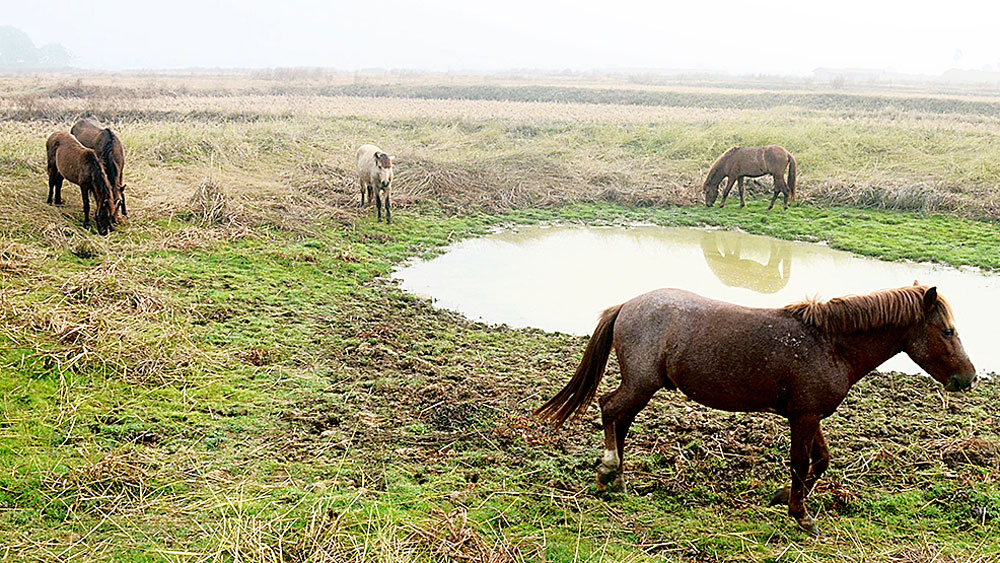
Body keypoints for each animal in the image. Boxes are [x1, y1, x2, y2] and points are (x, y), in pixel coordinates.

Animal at [540, 284, 976, 536]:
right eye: (948, 331)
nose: (968, 378)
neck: (829, 344)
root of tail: (627, 305)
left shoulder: (809, 414)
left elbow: (820, 461)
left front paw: (784, 497)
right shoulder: (804, 416)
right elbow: (801, 463)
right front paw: (802, 516)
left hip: (643, 385)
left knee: (621, 418)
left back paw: (618, 480)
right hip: (641, 382)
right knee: (610, 409)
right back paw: (608, 471)